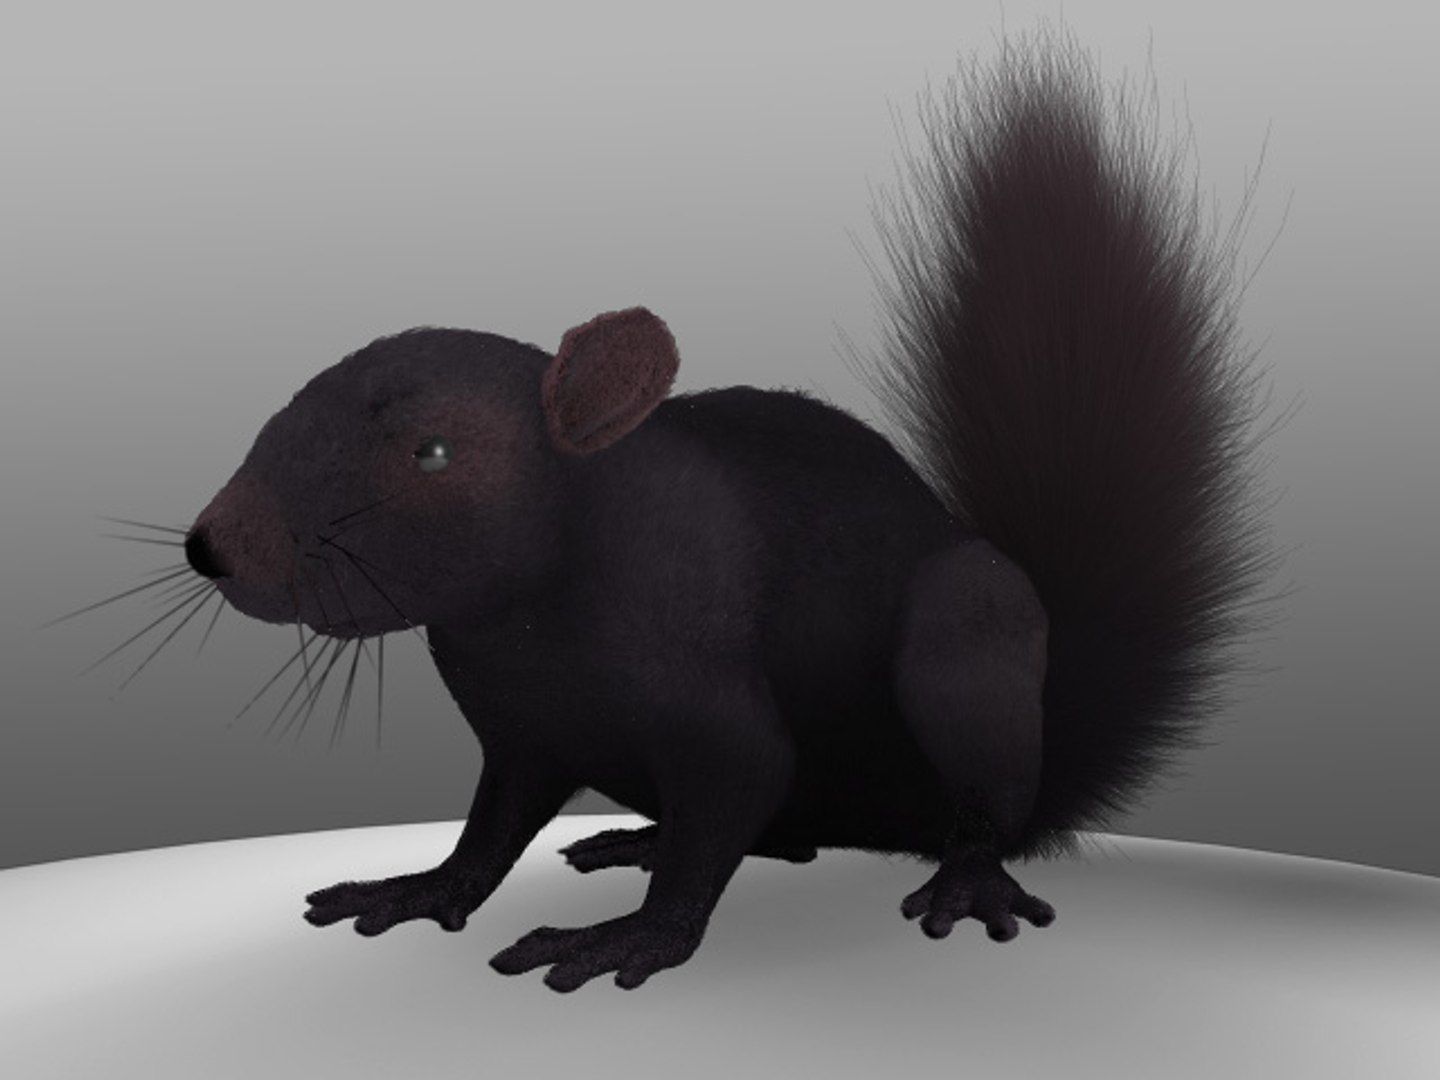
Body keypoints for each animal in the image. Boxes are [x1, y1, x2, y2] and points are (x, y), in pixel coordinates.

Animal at [69, 22, 1291, 993]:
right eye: (285, 406)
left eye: (433, 451)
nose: (215, 547)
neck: (527, 618)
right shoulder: (520, 732)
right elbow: (494, 827)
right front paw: (420, 887)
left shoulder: (708, 698)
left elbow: (733, 787)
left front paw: (627, 941)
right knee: (782, 840)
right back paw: (637, 841)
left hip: (972, 644)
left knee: (967, 807)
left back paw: (967, 879)